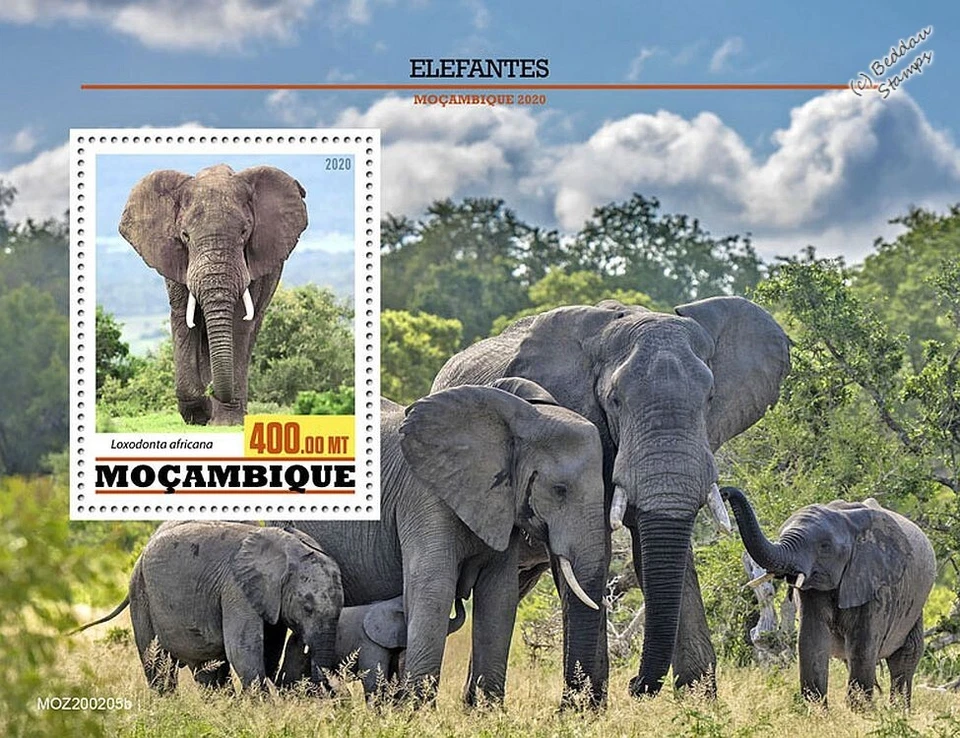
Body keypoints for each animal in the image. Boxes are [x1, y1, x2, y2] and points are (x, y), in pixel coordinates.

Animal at [71, 521, 342, 693]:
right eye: (307, 608)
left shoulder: (267, 598)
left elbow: (268, 653)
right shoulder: (236, 588)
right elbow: (243, 652)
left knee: (207, 671)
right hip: (141, 593)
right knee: (159, 667)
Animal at [119, 163, 307, 425]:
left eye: (244, 232)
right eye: (185, 235)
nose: (212, 394)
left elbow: (239, 323)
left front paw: (224, 420)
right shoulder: (176, 260)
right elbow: (183, 318)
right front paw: (199, 414)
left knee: (251, 329)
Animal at [432, 297, 790, 700]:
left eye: (710, 399)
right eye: (615, 401)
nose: (634, 685)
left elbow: (659, 555)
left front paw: (699, 701)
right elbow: (595, 554)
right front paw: (585, 705)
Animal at [722, 486, 937, 708]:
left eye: (824, 546)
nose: (724, 492)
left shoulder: (878, 583)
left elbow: (863, 646)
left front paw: (858, 713)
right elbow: (812, 640)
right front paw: (816, 710)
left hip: (915, 605)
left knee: (905, 656)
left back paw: (898, 712)